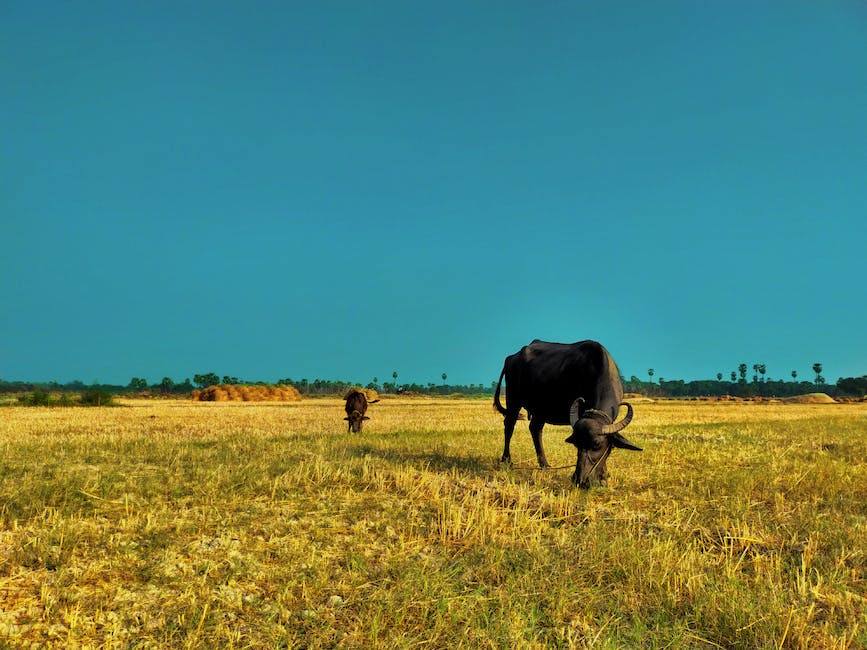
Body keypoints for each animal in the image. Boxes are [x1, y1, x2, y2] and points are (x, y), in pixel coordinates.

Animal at [492, 340, 640, 486]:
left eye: (597, 444)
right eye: (576, 444)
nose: (579, 480)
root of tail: (512, 358)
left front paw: (604, 475)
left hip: (540, 409)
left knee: (535, 428)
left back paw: (544, 464)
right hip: (513, 400)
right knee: (509, 426)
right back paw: (507, 460)